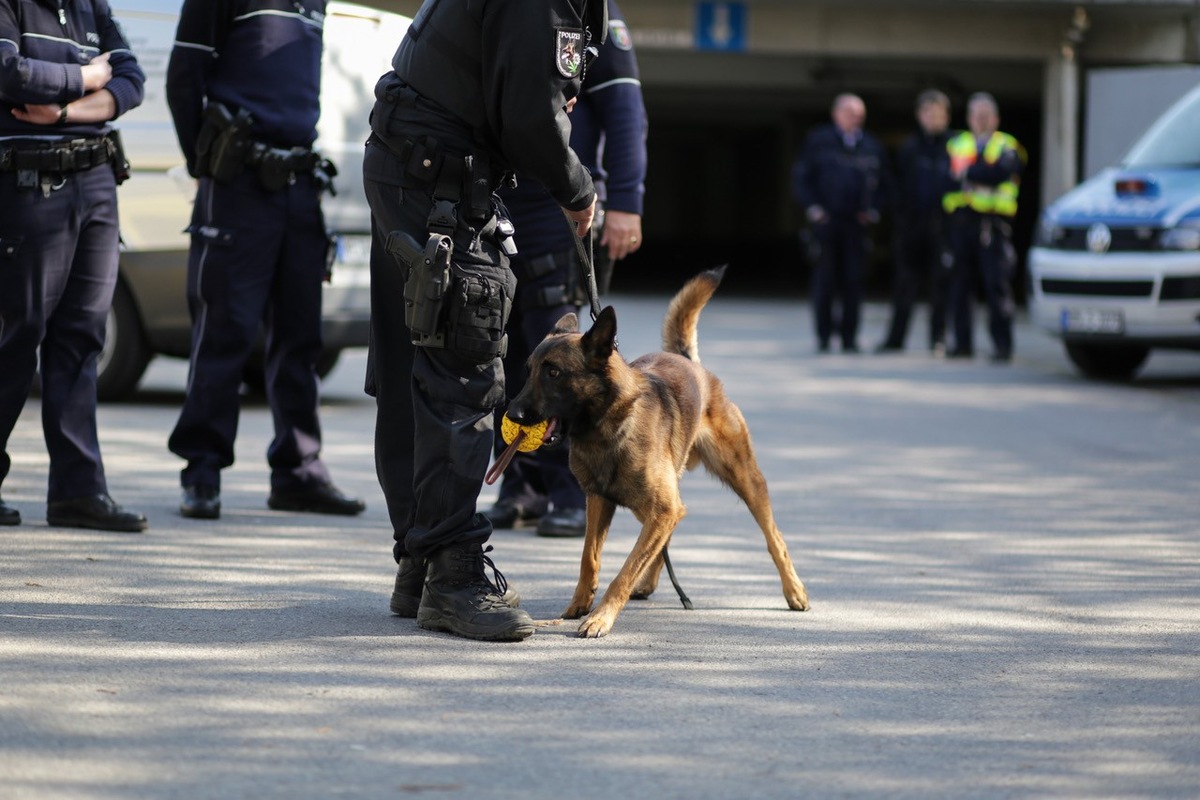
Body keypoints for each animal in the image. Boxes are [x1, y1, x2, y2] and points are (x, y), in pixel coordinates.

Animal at [501, 267, 811, 638]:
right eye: (529, 370)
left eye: (553, 372)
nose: (511, 413)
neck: (609, 427)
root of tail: (688, 360)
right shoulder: (600, 501)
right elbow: (590, 558)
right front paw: (580, 603)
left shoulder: (659, 508)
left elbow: (624, 570)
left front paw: (601, 617)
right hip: (648, 505)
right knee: (669, 531)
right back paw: (648, 582)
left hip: (744, 480)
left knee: (773, 536)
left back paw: (794, 591)